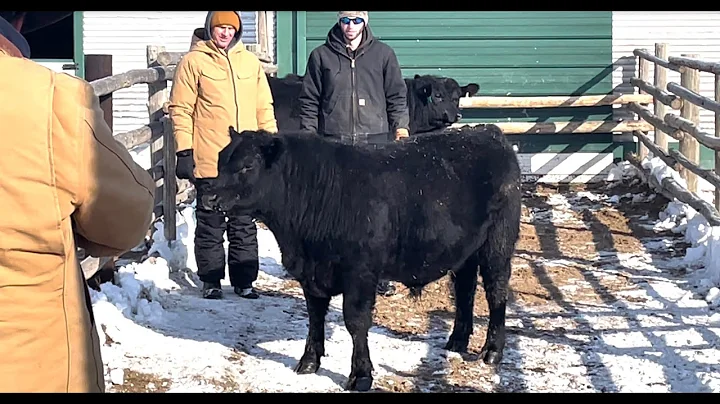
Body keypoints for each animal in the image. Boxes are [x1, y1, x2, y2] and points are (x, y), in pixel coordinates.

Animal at [199, 124, 522, 392]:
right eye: (221, 160)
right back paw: (456, 341)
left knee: (496, 292)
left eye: (247, 166)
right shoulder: (311, 273)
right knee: (465, 290)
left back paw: (492, 351)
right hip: (465, 252)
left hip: (498, 243)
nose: (209, 197)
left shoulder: (361, 272)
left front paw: (360, 375)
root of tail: (487, 132)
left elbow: (356, 322)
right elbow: (315, 316)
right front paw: (308, 362)